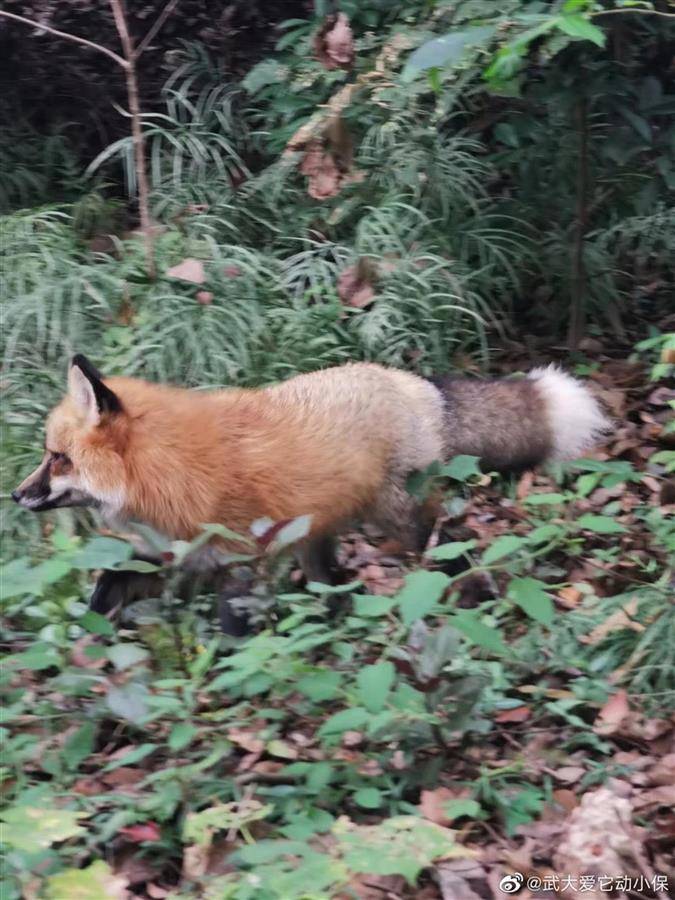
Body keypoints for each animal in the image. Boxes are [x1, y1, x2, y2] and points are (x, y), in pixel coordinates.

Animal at [13, 356, 608, 624]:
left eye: (56, 458)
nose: (17, 496)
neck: (166, 468)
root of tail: (411, 381)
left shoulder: (238, 561)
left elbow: (235, 631)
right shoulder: (172, 555)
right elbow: (105, 589)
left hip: (402, 521)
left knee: (455, 556)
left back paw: (471, 602)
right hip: (316, 540)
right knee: (333, 589)